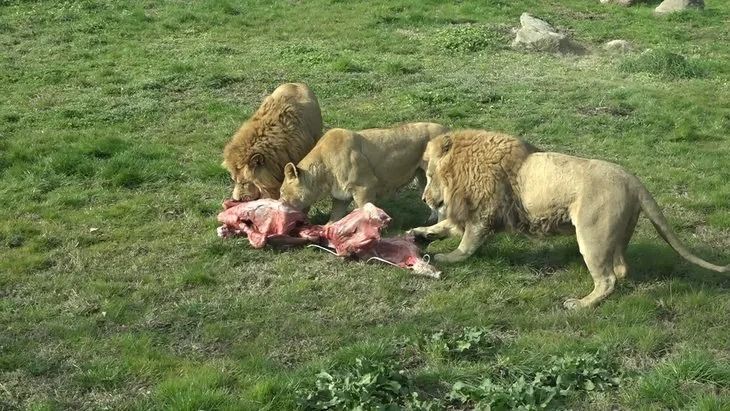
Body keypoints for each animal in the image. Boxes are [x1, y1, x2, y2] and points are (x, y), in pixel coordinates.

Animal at [280, 122, 446, 222]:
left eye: (282, 191)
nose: (279, 203)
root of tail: (447, 129)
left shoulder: (365, 186)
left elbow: (364, 211)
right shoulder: (340, 196)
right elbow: (335, 216)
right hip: (422, 177)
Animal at [410, 130, 728, 308]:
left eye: (428, 175)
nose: (423, 199)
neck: (461, 168)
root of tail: (634, 181)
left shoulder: (484, 214)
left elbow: (465, 245)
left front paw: (444, 257)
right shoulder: (469, 212)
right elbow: (444, 226)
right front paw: (418, 233)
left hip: (592, 235)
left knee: (608, 279)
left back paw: (579, 304)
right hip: (618, 235)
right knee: (622, 269)